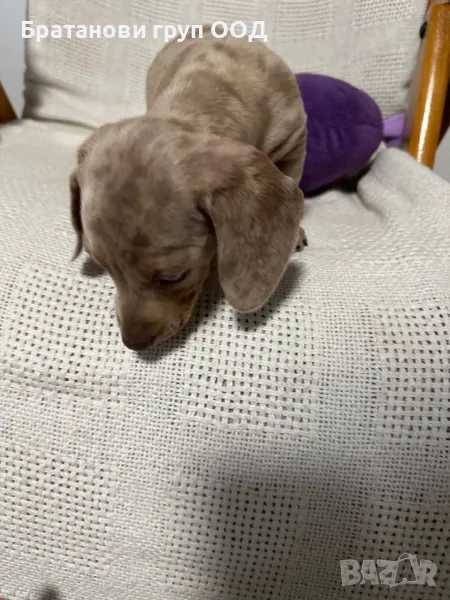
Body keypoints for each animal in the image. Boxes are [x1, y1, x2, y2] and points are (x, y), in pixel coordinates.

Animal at [69, 24, 308, 350]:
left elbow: (293, 177)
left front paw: (296, 233)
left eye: (173, 277)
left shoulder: (295, 140)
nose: (133, 344)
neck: (213, 87)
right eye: (103, 266)